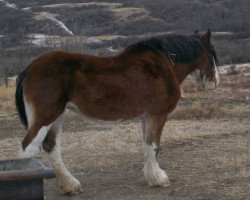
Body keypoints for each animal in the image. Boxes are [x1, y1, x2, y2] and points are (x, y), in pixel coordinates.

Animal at [15, 30, 219, 195]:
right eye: (212, 53)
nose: (215, 81)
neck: (164, 63)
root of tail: (28, 69)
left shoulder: (146, 117)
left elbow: (147, 146)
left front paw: (151, 176)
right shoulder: (157, 115)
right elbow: (154, 146)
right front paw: (159, 179)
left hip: (57, 116)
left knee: (52, 148)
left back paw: (71, 186)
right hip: (45, 117)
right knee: (28, 149)